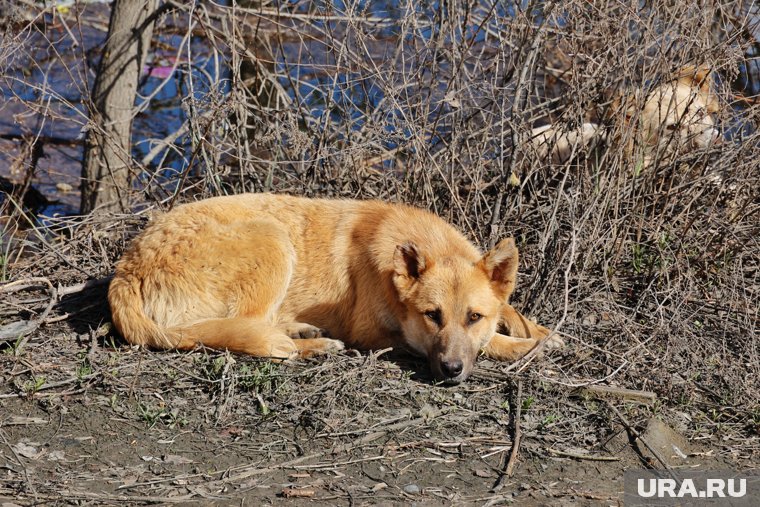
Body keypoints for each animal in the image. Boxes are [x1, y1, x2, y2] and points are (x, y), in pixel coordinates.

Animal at [108, 194, 564, 384]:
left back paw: (304, 331)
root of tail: (125, 270)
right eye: (432, 316)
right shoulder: (373, 332)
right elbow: (491, 344)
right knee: (253, 334)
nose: (451, 371)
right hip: (273, 240)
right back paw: (313, 345)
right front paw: (521, 347)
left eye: (473, 316)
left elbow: (510, 311)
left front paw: (538, 331)